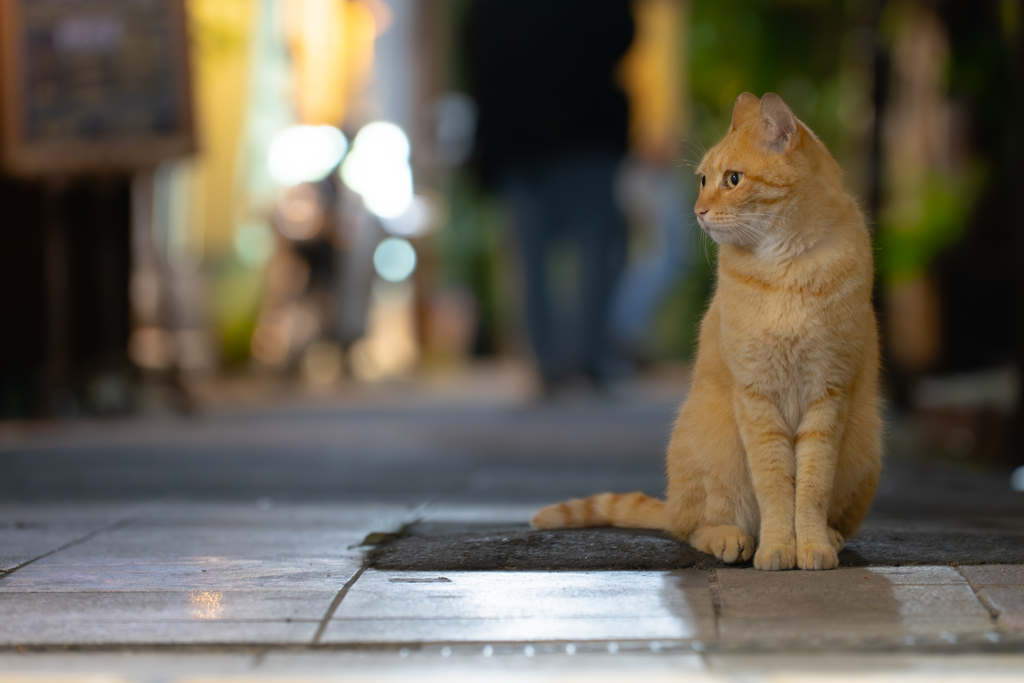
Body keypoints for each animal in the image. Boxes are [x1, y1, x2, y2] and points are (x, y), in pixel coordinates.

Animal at [536, 92, 880, 573]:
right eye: (702, 180)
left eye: (733, 179)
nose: (698, 211)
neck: (786, 269)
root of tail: (671, 505)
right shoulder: (756, 397)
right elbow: (776, 486)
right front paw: (779, 548)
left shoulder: (828, 395)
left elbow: (811, 486)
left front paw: (810, 545)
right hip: (712, 446)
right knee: (693, 526)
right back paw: (730, 538)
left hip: (865, 444)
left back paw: (830, 536)